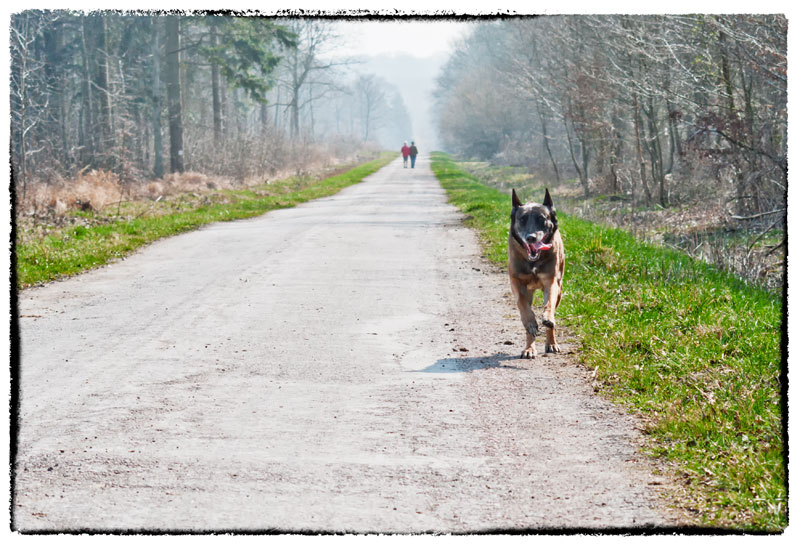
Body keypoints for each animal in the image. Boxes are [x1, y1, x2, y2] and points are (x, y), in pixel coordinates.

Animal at [510, 187, 564, 356]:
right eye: (522, 219)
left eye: (542, 219)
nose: (531, 237)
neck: (533, 260)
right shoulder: (517, 283)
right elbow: (522, 305)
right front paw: (530, 323)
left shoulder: (551, 282)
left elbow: (549, 305)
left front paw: (547, 318)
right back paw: (529, 348)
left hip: (559, 288)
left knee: (551, 321)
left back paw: (551, 343)